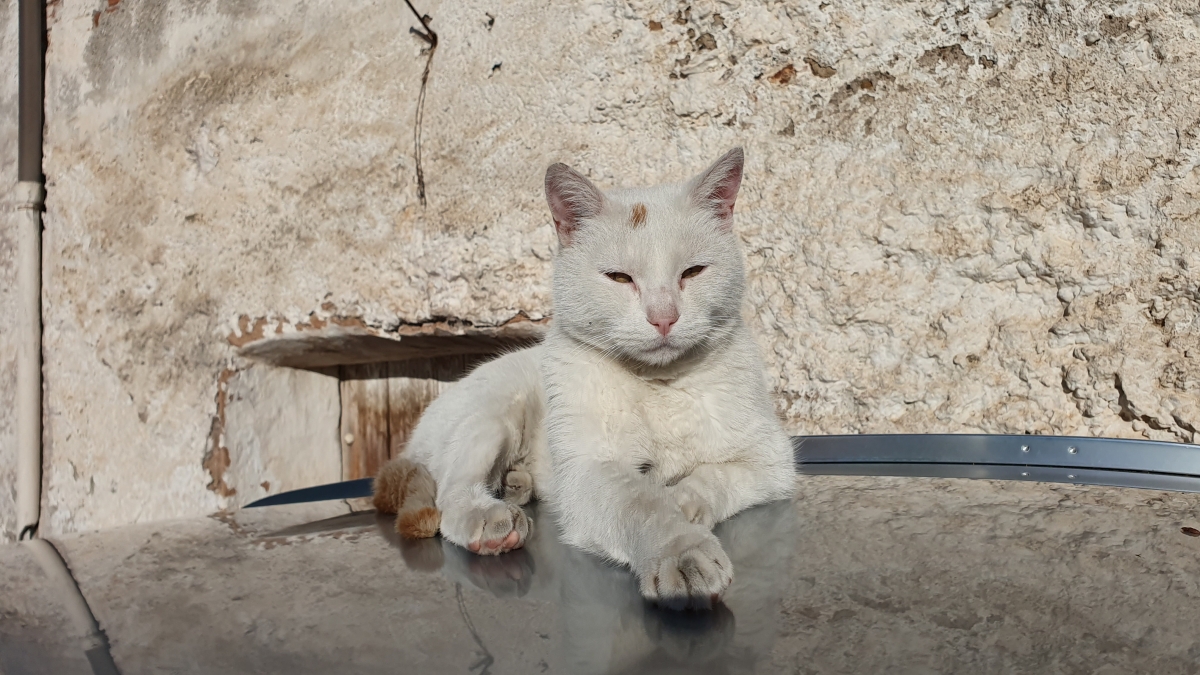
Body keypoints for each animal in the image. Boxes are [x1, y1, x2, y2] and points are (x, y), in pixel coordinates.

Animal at [376, 148, 796, 610]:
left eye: (693, 272)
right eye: (619, 278)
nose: (664, 317)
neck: (659, 385)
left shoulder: (772, 461)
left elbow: (711, 477)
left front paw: (684, 501)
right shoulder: (590, 474)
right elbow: (642, 504)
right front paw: (680, 549)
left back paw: (515, 484)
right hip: (494, 417)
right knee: (451, 495)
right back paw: (492, 516)